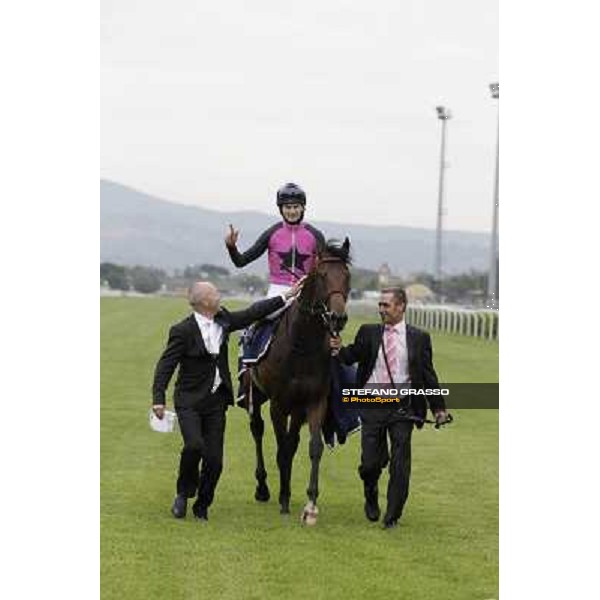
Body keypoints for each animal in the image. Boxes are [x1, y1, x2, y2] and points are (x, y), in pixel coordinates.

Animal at [244, 237, 352, 524]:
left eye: (347, 276)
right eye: (322, 275)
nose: (338, 318)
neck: (302, 345)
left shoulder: (314, 401)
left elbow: (313, 447)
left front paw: (310, 505)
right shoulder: (278, 404)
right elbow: (281, 449)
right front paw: (283, 499)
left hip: (297, 407)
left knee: (291, 442)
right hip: (255, 394)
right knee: (257, 430)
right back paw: (263, 487)